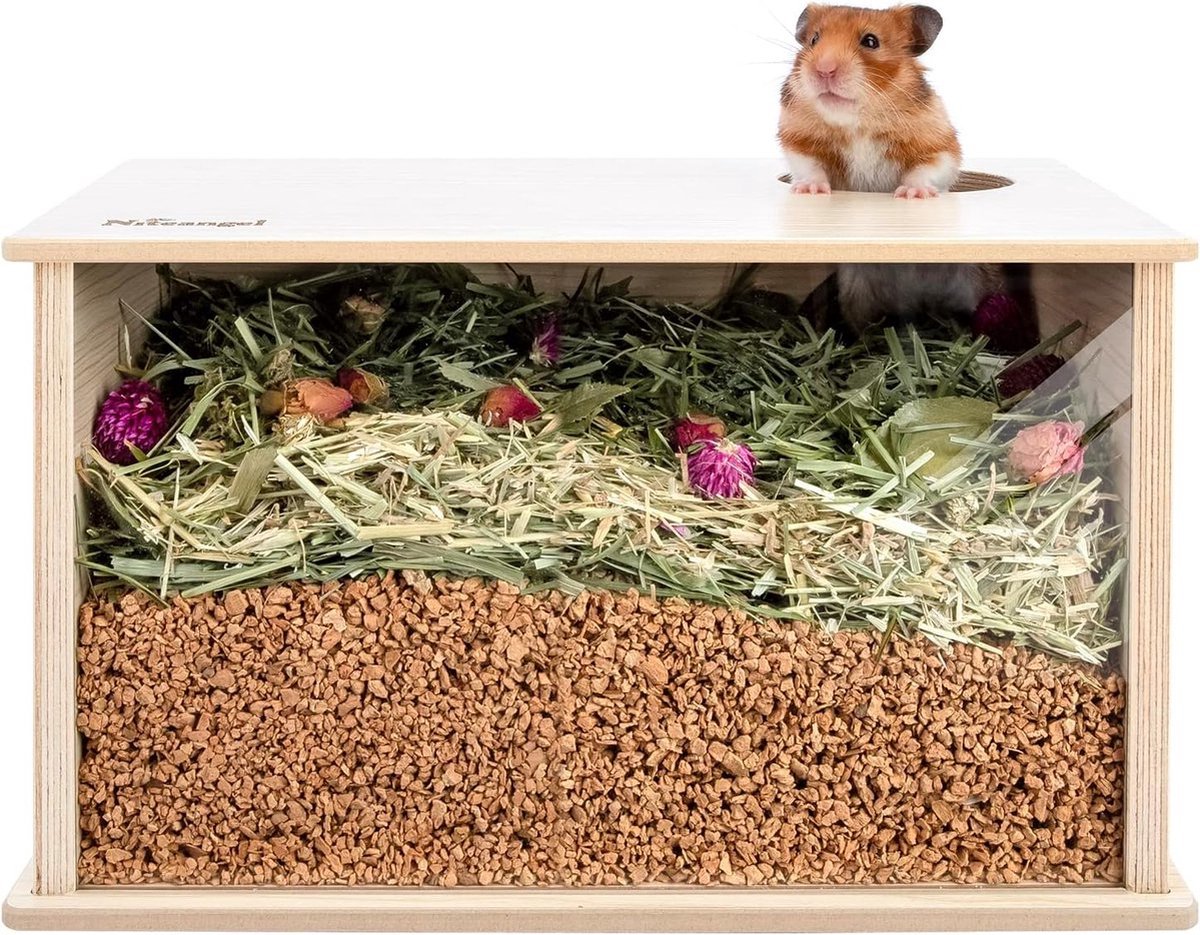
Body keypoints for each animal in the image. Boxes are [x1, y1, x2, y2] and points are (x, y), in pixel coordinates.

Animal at [778, 4, 992, 333]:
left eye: (870, 41)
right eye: (814, 39)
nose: (823, 70)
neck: (858, 119)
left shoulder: (939, 144)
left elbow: (927, 168)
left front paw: (912, 194)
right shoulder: (798, 140)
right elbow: (809, 166)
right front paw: (811, 190)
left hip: (970, 284)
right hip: (857, 291)